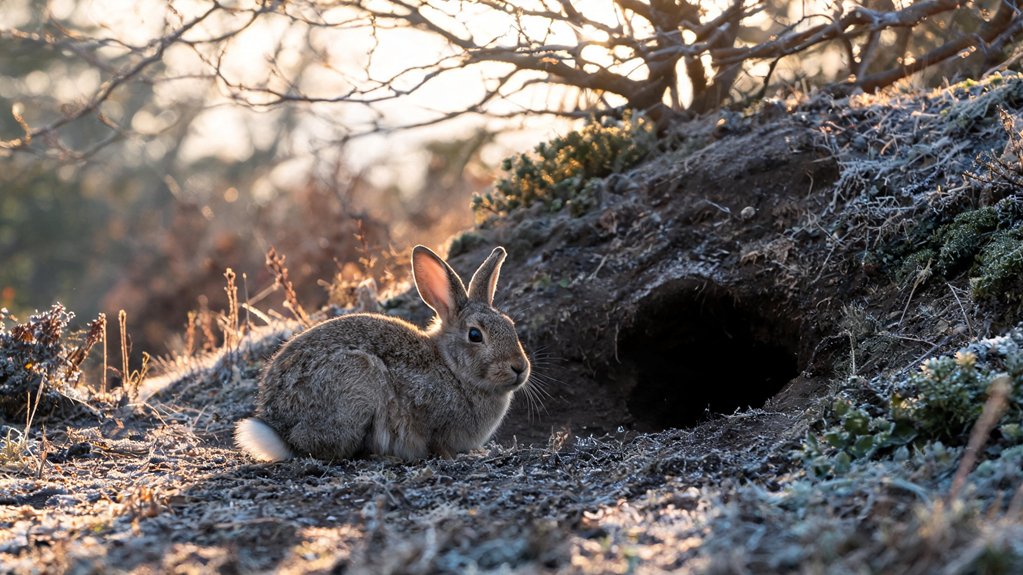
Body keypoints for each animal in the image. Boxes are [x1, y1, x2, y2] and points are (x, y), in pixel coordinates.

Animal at [235, 245, 531, 462]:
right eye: (475, 335)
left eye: (510, 325)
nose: (520, 367)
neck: (453, 370)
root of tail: (280, 430)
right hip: (356, 381)